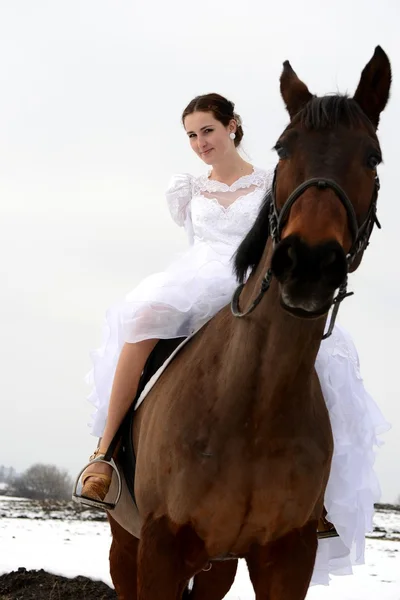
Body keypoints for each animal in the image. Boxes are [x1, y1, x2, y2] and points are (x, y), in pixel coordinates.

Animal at [105, 48, 390, 600]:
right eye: (283, 148)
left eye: (373, 157)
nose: (309, 264)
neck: (250, 403)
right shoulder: (159, 548)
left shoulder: (287, 556)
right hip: (125, 546)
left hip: (217, 565)